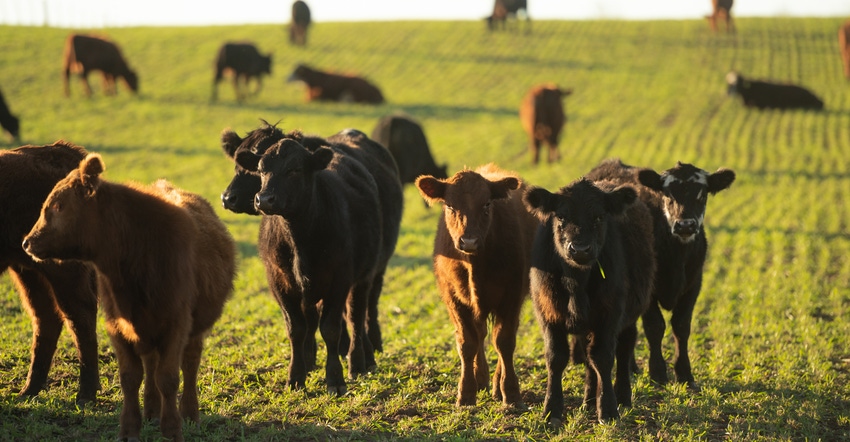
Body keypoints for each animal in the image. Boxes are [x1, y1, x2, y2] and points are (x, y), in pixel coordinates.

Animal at [0, 142, 99, 408]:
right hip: (29, 270)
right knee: (46, 318)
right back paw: (28, 391)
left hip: (63, 272)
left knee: (79, 316)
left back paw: (85, 394)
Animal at [412, 163, 536, 408]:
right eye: (450, 205)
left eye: (487, 203)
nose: (468, 241)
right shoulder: (455, 301)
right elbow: (467, 343)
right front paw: (466, 393)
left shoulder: (511, 297)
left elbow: (504, 342)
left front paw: (511, 394)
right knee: (479, 334)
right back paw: (481, 379)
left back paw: (496, 385)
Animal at [524, 178, 656, 424]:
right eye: (561, 216)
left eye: (599, 217)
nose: (580, 249)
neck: (576, 283)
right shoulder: (548, 314)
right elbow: (556, 358)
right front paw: (552, 410)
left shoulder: (609, 315)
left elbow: (603, 358)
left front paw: (608, 409)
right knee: (588, 358)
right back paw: (588, 401)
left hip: (629, 316)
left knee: (623, 349)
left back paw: (623, 397)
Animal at [588, 159, 732, 390]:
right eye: (667, 194)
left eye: (702, 195)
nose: (685, 225)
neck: (677, 256)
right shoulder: (650, 288)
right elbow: (655, 327)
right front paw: (657, 372)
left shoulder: (694, 284)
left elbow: (681, 326)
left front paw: (684, 373)